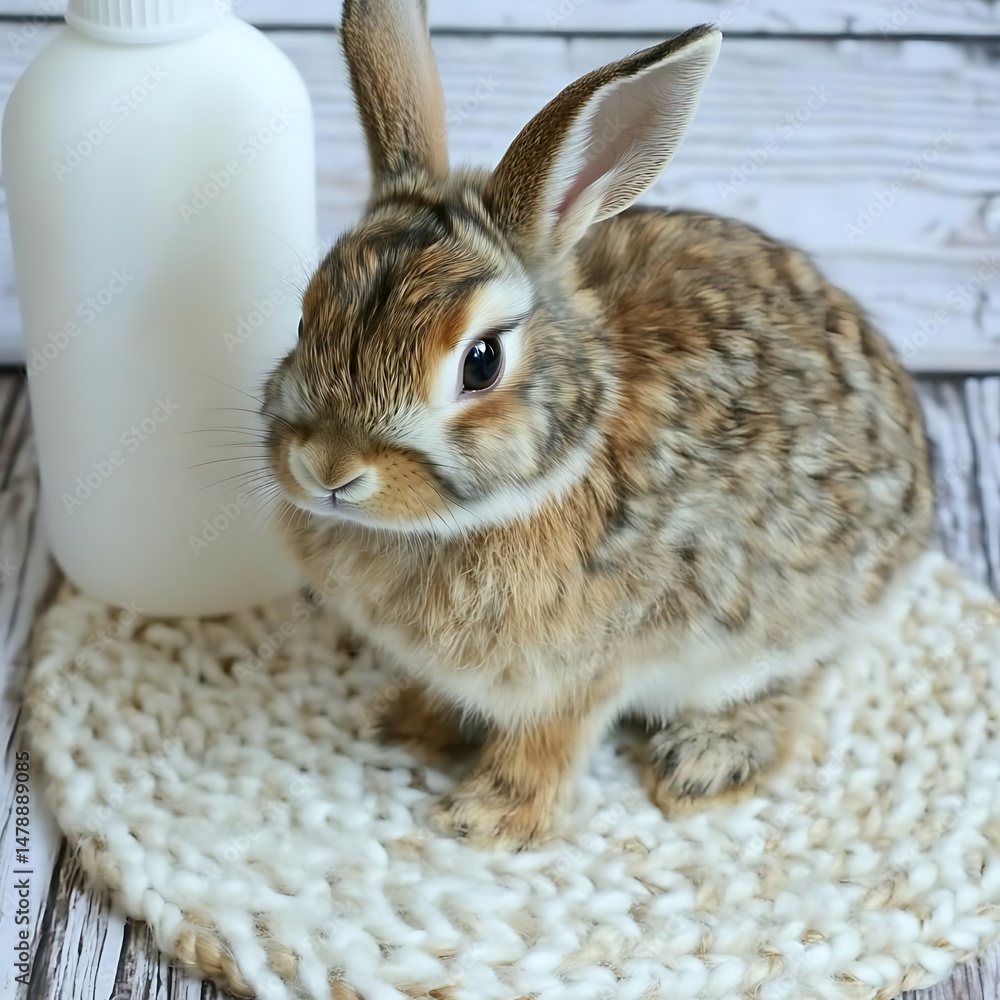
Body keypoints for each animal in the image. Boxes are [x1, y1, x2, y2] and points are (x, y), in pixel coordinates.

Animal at [260, 0, 933, 849]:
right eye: (305, 318)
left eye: (481, 362)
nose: (328, 469)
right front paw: (411, 726)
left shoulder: (584, 671)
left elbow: (549, 741)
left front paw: (488, 819)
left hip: (785, 629)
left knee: (793, 684)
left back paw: (704, 762)